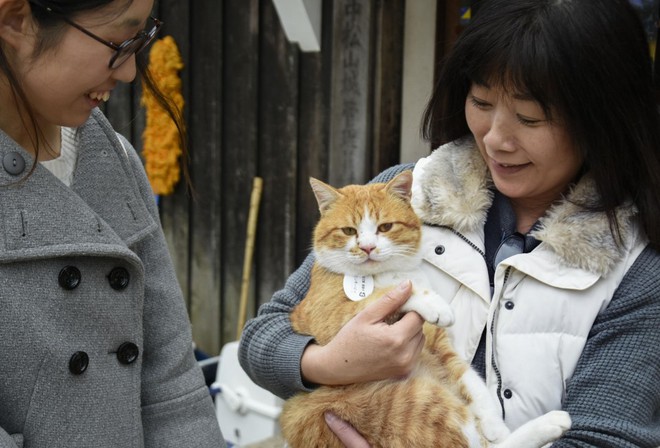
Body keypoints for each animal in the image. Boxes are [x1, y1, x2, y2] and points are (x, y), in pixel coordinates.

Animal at [282, 170, 568, 446]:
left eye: (385, 227)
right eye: (349, 231)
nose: (367, 248)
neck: (387, 273)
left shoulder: (441, 345)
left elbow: (471, 381)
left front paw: (494, 423)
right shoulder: (330, 318)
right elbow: (388, 293)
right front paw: (432, 302)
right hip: (420, 404)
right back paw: (550, 424)